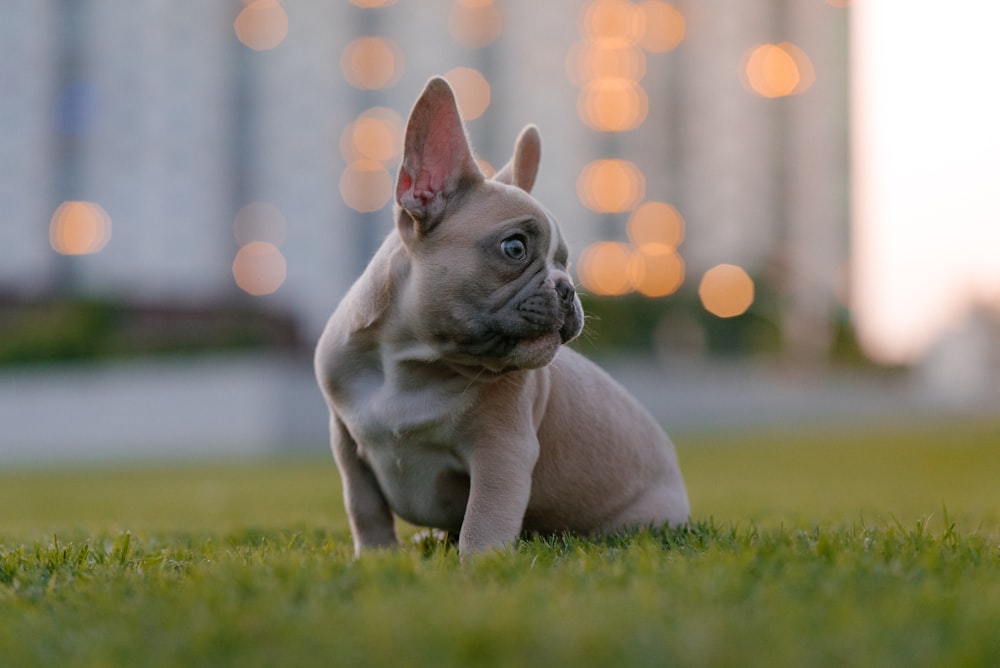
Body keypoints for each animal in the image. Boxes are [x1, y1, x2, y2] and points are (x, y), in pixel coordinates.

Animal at [316, 77, 692, 560]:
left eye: (565, 263)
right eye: (514, 248)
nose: (566, 288)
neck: (414, 364)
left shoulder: (501, 452)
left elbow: (484, 518)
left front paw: (482, 566)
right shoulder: (347, 446)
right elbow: (364, 509)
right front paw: (376, 560)